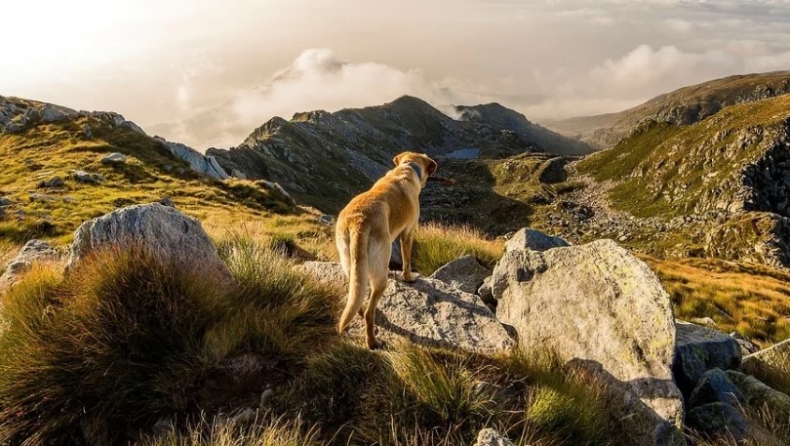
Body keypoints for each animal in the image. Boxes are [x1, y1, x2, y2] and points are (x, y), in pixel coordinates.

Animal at [336, 152, 440, 350]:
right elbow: (407, 260)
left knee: (357, 296)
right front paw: (409, 278)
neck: (407, 168)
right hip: (379, 272)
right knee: (369, 312)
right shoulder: (408, 233)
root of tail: (359, 221)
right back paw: (372, 342)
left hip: (350, 263)